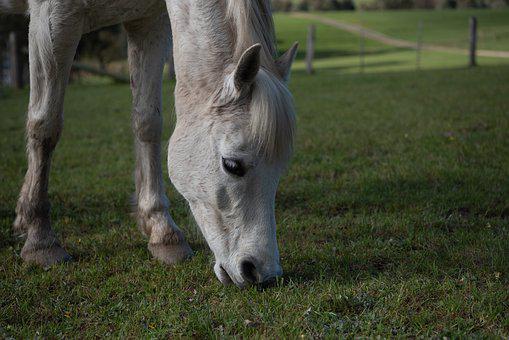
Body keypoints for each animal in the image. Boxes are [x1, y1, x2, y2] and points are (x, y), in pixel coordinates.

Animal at [2, 0, 298, 288]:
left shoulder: (148, 23)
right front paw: (40, 240)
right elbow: (45, 126)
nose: (263, 273)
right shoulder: (52, 19)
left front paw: (162, 231)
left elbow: (147, 122)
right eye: (232, 165)